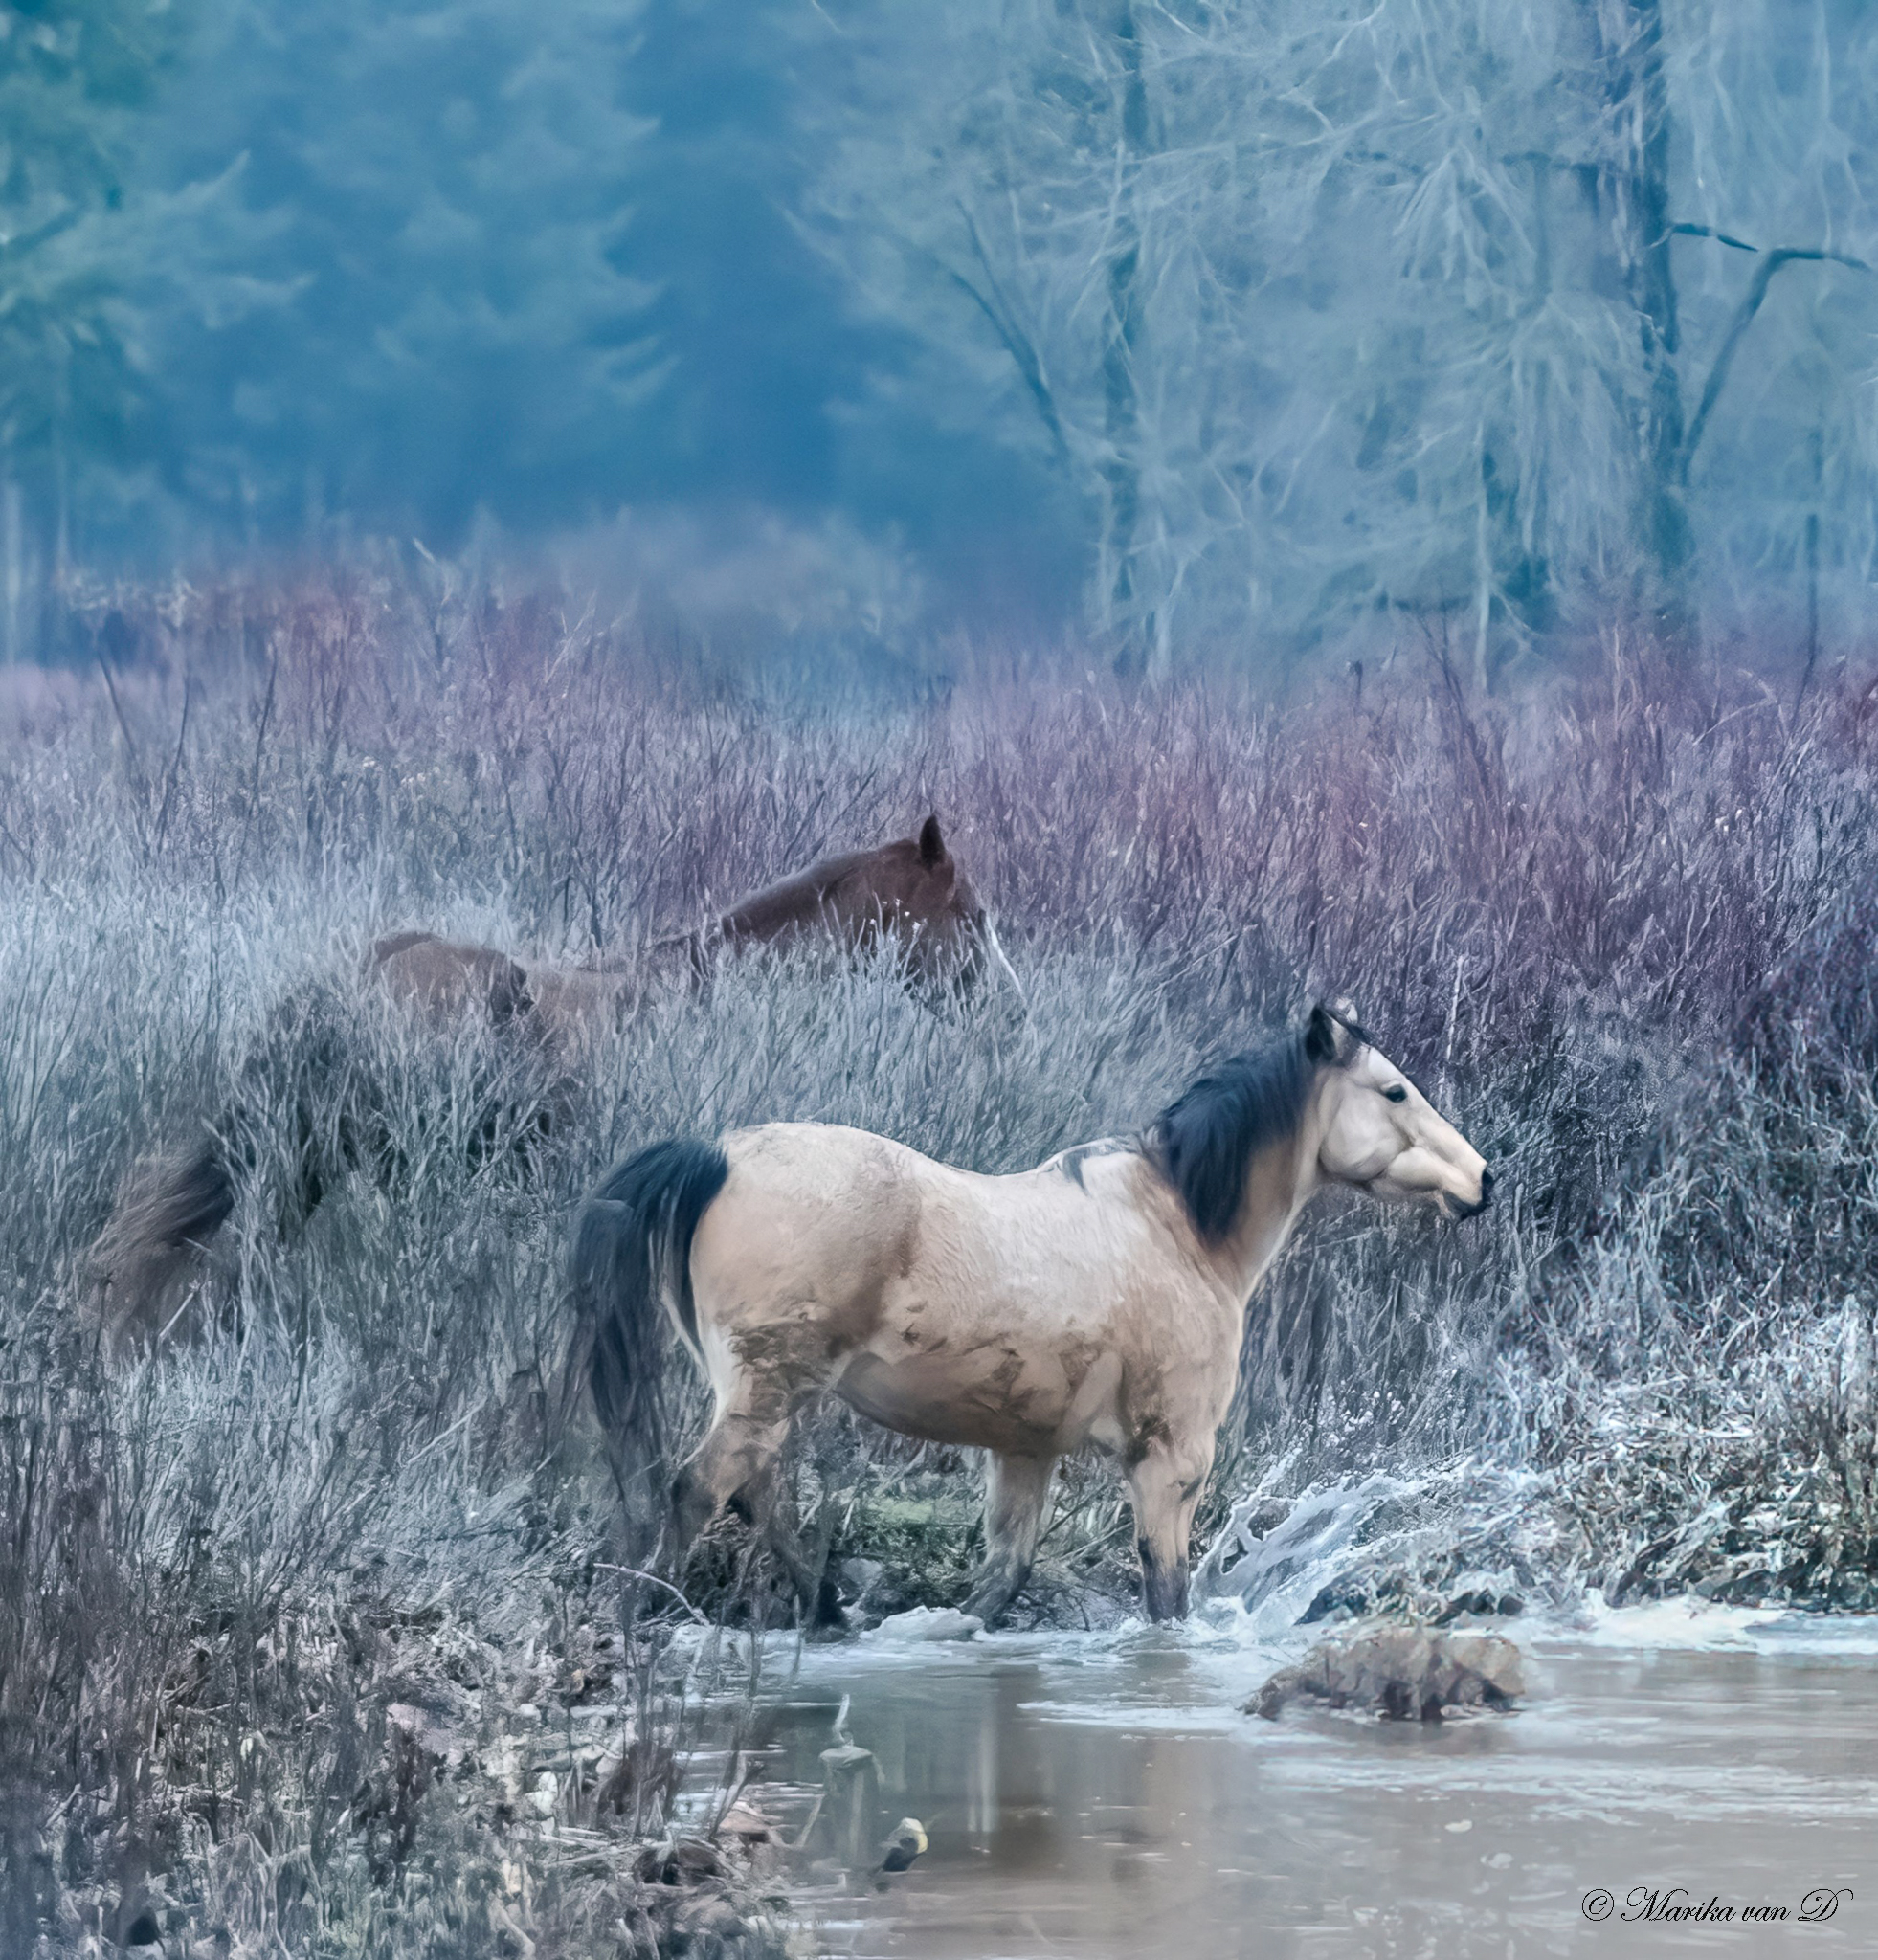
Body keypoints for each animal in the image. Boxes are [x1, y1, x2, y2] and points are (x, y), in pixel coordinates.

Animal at [571, 1001, 1493, 1625]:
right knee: (698, 1491)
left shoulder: (1024, 1452)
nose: (1482, 1180)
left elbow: (998, 1582)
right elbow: (1166, 1599)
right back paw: (644, 1617)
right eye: (1394, 1091)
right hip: (767, 1391)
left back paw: (829, 1616)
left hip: (766, 1397)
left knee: (758, 1498)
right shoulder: (1172, 1466)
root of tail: (718, 1154)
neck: (1177, 1228)